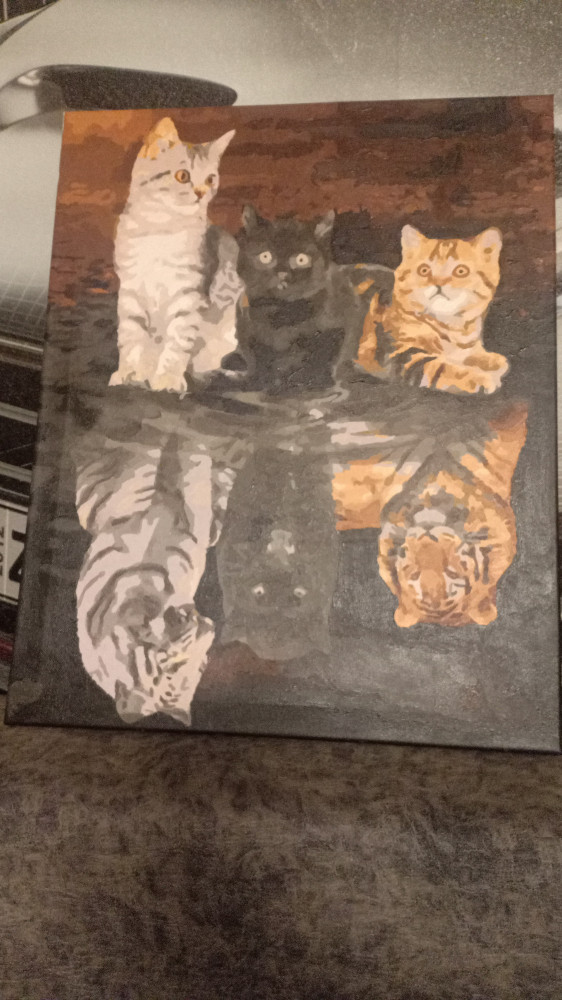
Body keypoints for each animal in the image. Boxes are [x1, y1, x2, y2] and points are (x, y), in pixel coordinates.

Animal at [109, 116, 242, 395]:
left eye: (211, 179)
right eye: (183, 176)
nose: (201, 192)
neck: (161, 229)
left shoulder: (187, 295)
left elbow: (177, 342)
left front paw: (168, 379)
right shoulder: (131, 291)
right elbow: (131, 338)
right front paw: (130, 374)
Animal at [220, 205, 393, 394]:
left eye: (301, 259)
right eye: (265, 256)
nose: (282, 274)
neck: (283, 314)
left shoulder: (340, 326)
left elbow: (320, 358)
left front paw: (307, 382)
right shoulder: (250, 334)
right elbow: (258, 360)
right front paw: (254, 380)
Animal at [356, 224, 509, 395]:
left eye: (461, 271)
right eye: (424, 270)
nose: (439, 283)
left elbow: (469, 354)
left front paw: (489, 360)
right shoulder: (400, 354)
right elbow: (443, 367)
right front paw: (480, 377)